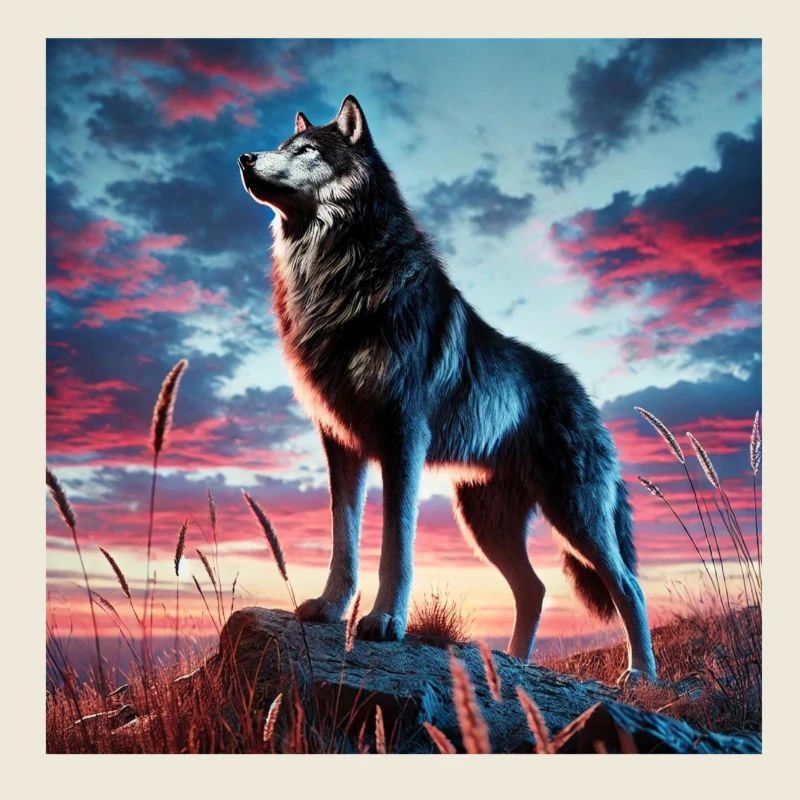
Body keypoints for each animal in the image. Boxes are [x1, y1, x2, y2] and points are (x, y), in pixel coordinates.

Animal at [239, 96, 657, 684]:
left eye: (307, 151)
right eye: (282, 146)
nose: (245, 157)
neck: (336, 274)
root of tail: (585, 395)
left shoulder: (402, 439)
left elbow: (397, 543)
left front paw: (385, 621)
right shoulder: (339, 442)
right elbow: (344, 537)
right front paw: (330, 607)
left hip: (574, 515)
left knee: (629, 585)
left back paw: (641, 675)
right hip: (486, 524)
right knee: (535, 588)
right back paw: (513, 663)